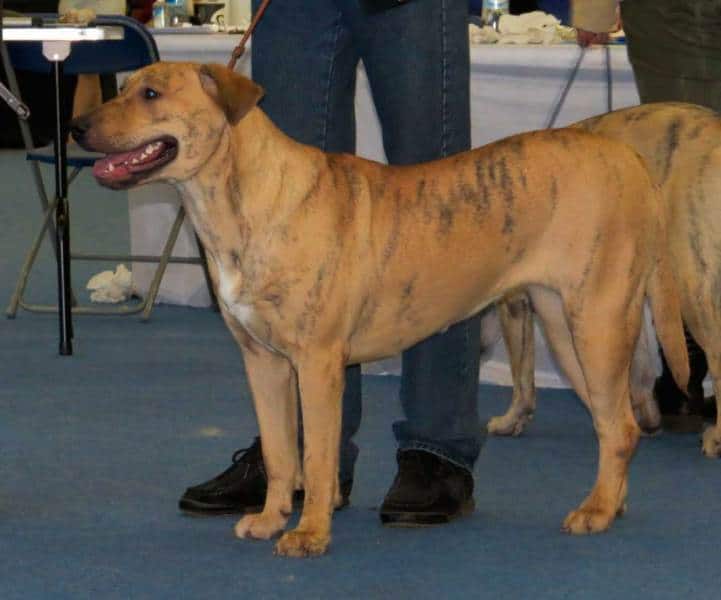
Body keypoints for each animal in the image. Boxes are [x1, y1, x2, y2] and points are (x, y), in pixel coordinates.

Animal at [71, 62, 689, 556]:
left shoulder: (318, 364)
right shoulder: (263, 362)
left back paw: (595, 512)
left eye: (152, 94)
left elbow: (317, 458)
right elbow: (280, 451)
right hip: (567, 330)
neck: (240, 200)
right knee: (616, 425)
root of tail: (630, 158)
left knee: (618, 425)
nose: (77, 127)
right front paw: (270, 520)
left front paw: (309, 534)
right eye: (122, 87)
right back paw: (610, 501)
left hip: (599, 322)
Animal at [490, 103, 721, 459]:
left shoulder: (516, 305)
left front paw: (511, 420)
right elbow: (637, 364)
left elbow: (522, 374)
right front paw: (647, 418)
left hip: (694, 290)